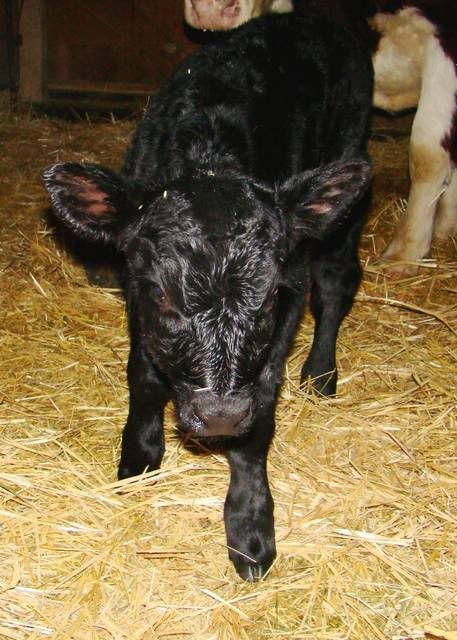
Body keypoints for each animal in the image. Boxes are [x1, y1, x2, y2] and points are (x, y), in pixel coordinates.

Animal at [42, 14, 372, 581]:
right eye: (161, 292)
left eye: (269, 297)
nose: (220, 415)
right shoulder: (135, 294)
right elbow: (143, 376)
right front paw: (139, 457)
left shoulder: (287, 295)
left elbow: (260, 415)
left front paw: (250, 528)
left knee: (336, 281)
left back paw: (321, 373)